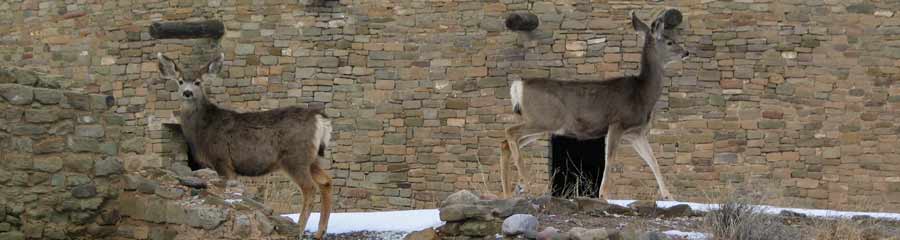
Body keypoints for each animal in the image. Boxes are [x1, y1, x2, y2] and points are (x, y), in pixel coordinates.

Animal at [156, 53, 336, 239]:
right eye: (180, 81)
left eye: (198, 82)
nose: (187, 92)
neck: (203, 129)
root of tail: (320, 119)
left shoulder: (222, 159)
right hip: (311, 159)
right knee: (326, 182)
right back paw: (320, 232)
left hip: (295, 157)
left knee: (309, 188)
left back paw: (298, 228)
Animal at [500, 10, 688, 200]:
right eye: (670, 42)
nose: (686, 52)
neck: (642, 93)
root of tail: (518, 85)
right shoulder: (617, 123)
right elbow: (610, 158)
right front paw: (604, 193)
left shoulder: (635, 133)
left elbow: (653, 160)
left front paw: (669, 196)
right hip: (544, 119)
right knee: (509, 132)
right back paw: (525, 183)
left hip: (544, 124)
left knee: (505, 143)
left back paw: (509, 192)